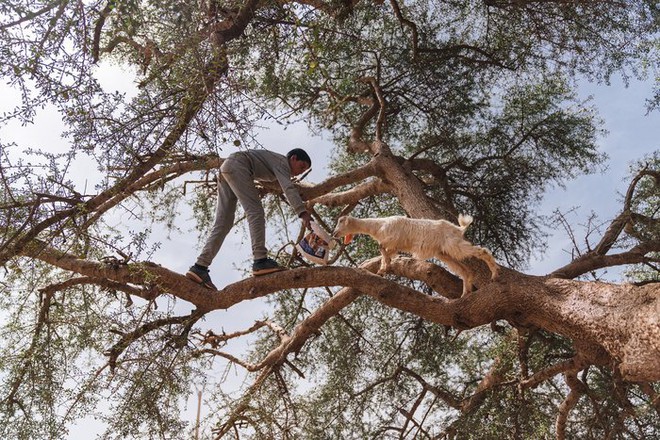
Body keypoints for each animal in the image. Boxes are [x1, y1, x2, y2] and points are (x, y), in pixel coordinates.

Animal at [336, 214, 500, 296]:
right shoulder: (395, 245)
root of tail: (459, 229)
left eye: (340, 221)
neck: (378, 226)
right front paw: (383, 269)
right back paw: (465, 294)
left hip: (454, 245)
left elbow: (381, 248)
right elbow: (384, 252)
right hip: (444, 253)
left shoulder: (393, 239)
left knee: (482, 251)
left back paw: (494, 274)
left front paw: (385, 265)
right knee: (464, 270)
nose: (334, 233)